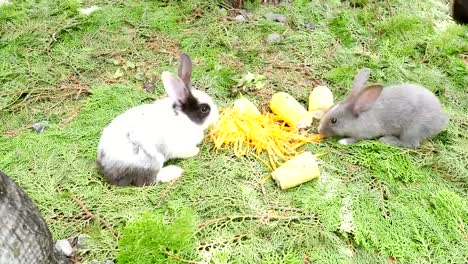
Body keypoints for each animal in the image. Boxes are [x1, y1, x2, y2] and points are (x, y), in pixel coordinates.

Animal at [96, 53, 219, 186]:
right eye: (204, 109)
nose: (217, 117)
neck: (184, 118)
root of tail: (106, 169)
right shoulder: (178, 147)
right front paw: (195, 151)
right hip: (151, 159)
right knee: (148, 179)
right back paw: (175, 171)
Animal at [320, 68, 448, 148]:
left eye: (334, 120)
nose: (319, 130)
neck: (360, 116)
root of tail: (441, 122)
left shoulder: (365, 133)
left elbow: (356, 139)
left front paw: (343, 141)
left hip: (412, 130)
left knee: (409, 144)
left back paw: (387, 140)